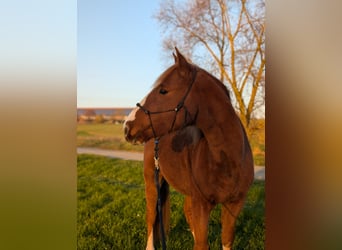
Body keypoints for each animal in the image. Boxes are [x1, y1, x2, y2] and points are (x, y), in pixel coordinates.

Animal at [124, 47, 252, 249]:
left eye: (163, 90)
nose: (127, 126)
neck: (227, 159)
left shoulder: (234, 204)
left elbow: (225, 239)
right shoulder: (201, 204)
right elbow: (201, 243)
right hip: (152, 182)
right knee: (151, 216)